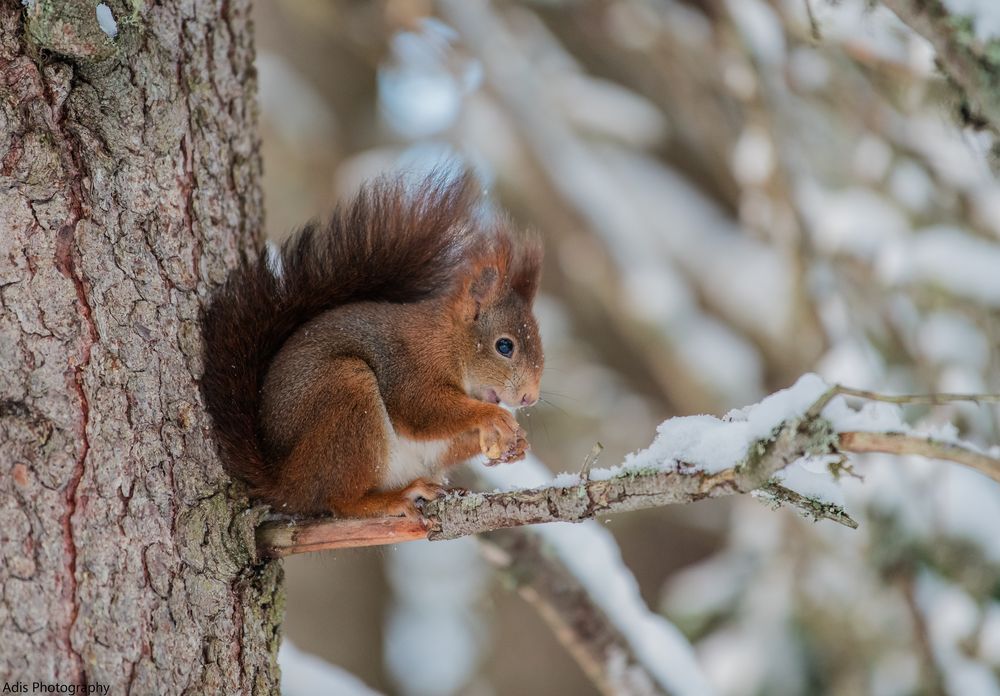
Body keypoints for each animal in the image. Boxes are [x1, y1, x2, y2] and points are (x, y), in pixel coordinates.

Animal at [200, 171, 544, 520]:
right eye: (505, 346)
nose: (530, 398)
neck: (447, 343)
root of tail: (283, 486)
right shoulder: (409, 367)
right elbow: (422, 410)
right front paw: (494, 417)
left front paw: (518, 444)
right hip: (347, 393)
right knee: (340, 500)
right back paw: (396, 498)